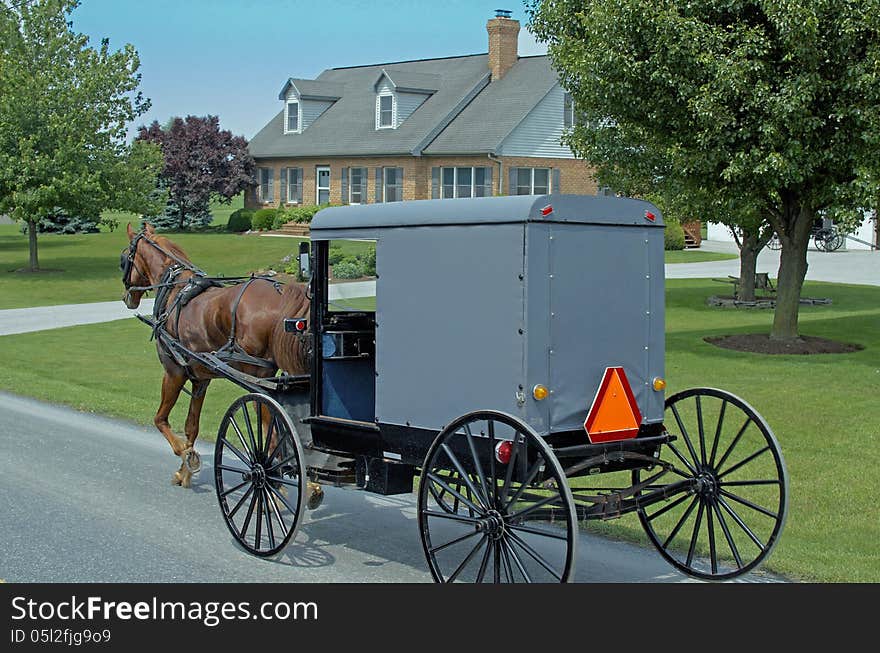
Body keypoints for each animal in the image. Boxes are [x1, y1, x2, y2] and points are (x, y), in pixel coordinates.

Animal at [119, 224, 320, 504]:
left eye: (123, 259)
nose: (127, 297)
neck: (174, 289)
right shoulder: (200, 378)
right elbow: (191, 426)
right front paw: (184, 472)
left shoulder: (174, 371)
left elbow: (160, 420)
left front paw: (186, 456)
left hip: (258, 376)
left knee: (272, 431)